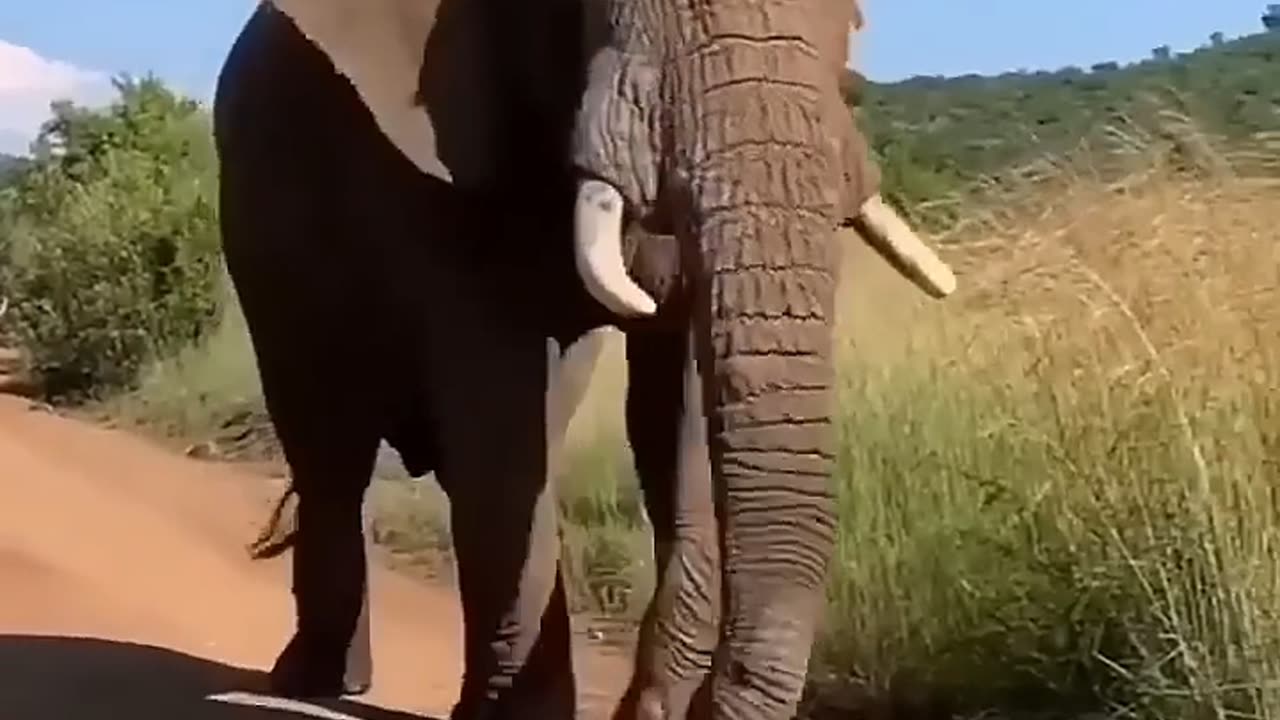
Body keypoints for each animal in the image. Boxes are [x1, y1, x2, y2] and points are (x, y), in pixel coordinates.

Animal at [213, 1, 955, 719]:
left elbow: (679, 416)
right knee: (329, 447)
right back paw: (312, 678)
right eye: (600, 9)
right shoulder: (430, 160)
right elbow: (501, 428)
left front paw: (654, 709)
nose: (712, 700)